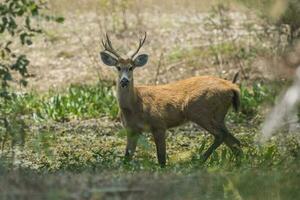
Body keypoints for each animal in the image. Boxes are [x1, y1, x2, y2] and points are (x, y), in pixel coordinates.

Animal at [99, 33, 243, 167]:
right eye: (118, 67)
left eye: (131, 67)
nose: (124, 81)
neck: (135, 106)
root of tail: (232, 87)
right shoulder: (131, 129)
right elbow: (127, 158)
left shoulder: (159, 124)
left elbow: (161, 159)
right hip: (218, 115)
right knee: (234, 141)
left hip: (200, 111)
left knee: (221, 136)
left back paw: (198, 161)